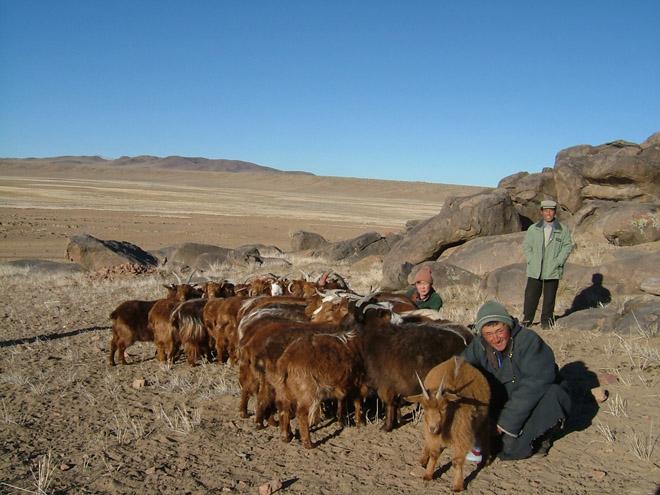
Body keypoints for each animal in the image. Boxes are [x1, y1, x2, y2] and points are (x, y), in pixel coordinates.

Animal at [404, 356, 492, 492]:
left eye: (444, 407)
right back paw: (423, 460)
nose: (433, 428)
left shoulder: (462, 436)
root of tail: (457, 359)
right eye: (424, 407)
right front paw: (428, 474)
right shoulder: (432, 433)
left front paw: (457, 486)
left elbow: (457, 462)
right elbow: (434, 454)